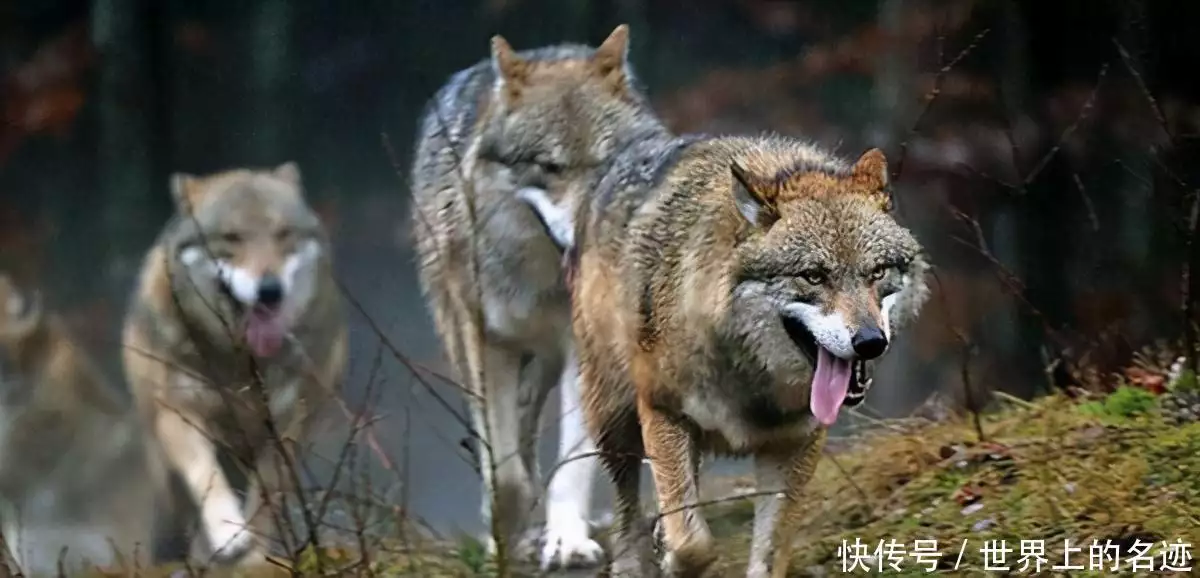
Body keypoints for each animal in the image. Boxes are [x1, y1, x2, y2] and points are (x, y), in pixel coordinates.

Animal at [120, 163, 348, 568]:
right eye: (232, 238)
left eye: (282, 233)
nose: (270, 291)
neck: (239, 361)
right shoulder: (178, 413)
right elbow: (205, 474)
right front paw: (229, 533)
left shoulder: (286, 428)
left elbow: (265, 501)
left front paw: (255, 555)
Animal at [410, 22, 676, 568]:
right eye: (549, 167)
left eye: (605, 162)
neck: (538, 282)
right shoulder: (485, 345)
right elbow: (504, 469)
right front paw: (505, 533)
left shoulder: (582, 350)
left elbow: (574, 461)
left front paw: (567, 540)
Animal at [556, 136, 931, 578]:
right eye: (813, 276)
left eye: (877, 272)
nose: (871, 341)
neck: (751, 376)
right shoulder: (663, 411)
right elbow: (693, 544)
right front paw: (674, 562)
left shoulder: (795, 443)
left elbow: (767, 553)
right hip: (614, 421)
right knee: (629, 505)